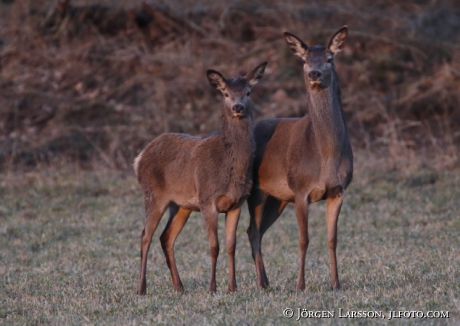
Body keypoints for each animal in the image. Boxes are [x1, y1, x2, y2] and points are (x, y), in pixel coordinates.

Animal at [133, 61, 268, 296]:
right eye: (225, 93)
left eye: (248, 92)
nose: (237, 107)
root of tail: (139, 158)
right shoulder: (207, 200)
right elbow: (214, 246)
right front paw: (212, 288)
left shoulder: (236, 203)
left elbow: (231, 245)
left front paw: (232, 287)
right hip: (153, 195)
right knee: (145, 236)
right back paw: (141, 289)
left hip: (181, 205)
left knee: (166, 237)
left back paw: (179, 286)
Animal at [248, 25, 352, 290]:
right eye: (305, 60)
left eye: (329, 58)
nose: (314, 73)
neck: (325, 157)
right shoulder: (301, 190)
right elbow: (304, 239)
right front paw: (300, 285)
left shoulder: (338, 190)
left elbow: (332, 239)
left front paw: (336, 284)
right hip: (257, 191)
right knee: (253, 231)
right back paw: (261, 282)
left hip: (278, 199)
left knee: (257, 231)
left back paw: (265, 281)